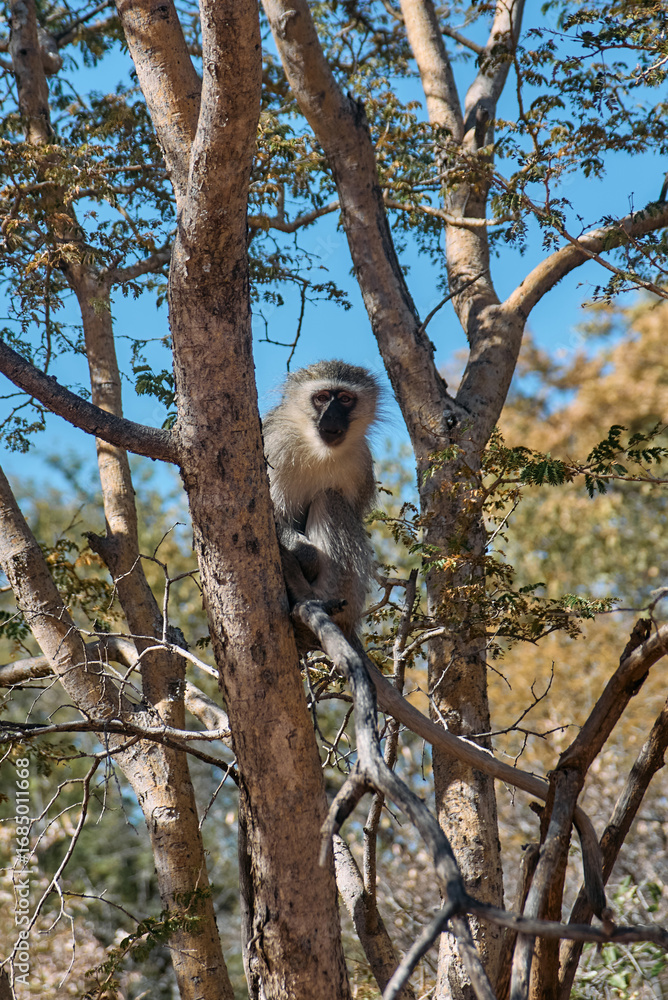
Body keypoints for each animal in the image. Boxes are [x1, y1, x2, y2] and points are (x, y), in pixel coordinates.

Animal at [263, 360, 380, 642]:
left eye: (345, 399)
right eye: (322, 398)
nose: (331, 416)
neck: (318, 451)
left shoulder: (360, 462)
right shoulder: (273, 445)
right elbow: (273, 515)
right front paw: (307, 557)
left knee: (330, 498)